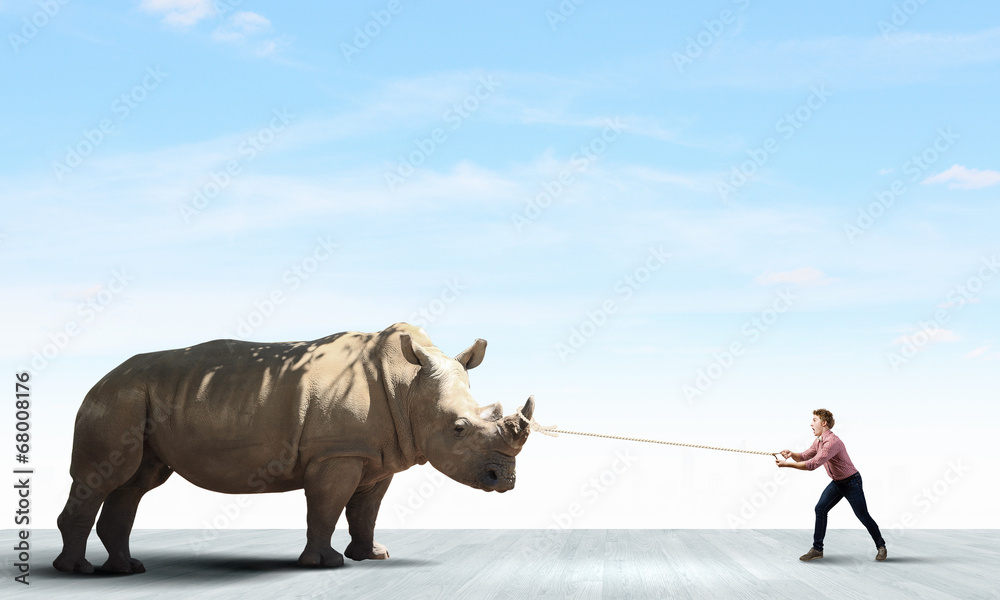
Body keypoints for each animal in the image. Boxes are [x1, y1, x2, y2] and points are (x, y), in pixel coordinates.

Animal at [53, 323, 534, 574]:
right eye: (459, 428)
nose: (505, 480)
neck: (408, 386)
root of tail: (103, 377)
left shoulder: (375, 456)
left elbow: (366, 510)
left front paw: (372, 556)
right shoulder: (337, 453)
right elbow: (327, 505)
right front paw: (326, 563)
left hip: (136, 397)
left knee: (135, 483)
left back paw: (126, 568)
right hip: (117, 398)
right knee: (104, 478)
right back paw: (77, 572)